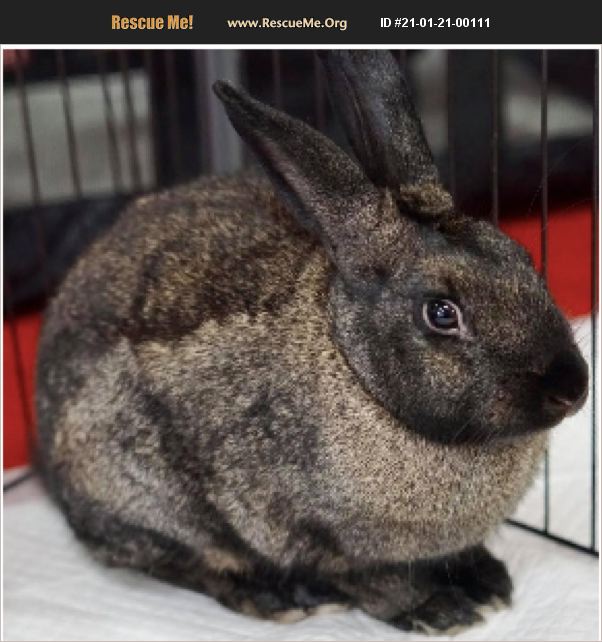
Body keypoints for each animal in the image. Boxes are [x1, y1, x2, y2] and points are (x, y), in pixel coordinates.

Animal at [36, 50, 588, 634]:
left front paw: (488, 582)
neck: (357, 373)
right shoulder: (306, 530)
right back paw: (277, 597)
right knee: (183, 561)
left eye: (524, 259)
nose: (572, 386)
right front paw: (440, 609)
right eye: (441, 313)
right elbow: (369, 578)